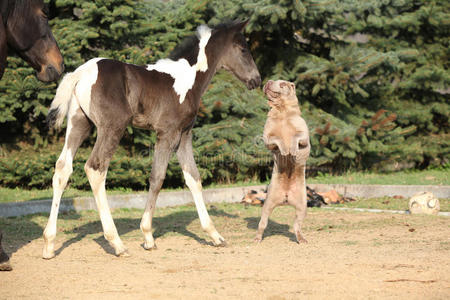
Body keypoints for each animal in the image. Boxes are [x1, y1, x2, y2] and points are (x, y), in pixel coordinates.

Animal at [44, 19, 262, 258]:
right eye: (243, 49)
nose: (257, 80)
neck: (187, 79)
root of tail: (81, 73)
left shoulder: (184, 135)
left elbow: (193, 178)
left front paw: (215, 236)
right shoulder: (168, 134)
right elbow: (157, 178)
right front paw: (148, 236)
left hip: (79, 124)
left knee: (63, 168)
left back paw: (49, 244)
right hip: (112, 128)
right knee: (95, 168)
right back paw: (117, 243)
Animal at [255, 79, 312, 244]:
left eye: (282, 84)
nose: (269, 81)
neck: (282, 112)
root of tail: (286, 198)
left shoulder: (303, 135)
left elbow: (295, 137)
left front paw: (291, 150)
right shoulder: (268, 137)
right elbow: (277, 138)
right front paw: (285, 151)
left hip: (302, 206)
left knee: (297, 225)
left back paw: (302, 239)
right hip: (267, 205)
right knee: (263, 223)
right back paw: (257, 238)